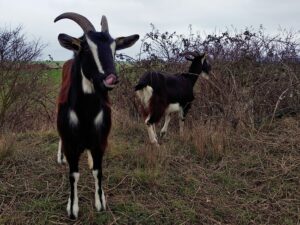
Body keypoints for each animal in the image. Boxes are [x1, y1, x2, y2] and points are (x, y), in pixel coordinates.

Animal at [54, 11, 139, 218]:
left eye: (114, 47)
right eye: (85, 46)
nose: (111, 78)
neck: (86, 113)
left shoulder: (101, 141)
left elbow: (97, 171)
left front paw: (100, 202)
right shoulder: (71, 142)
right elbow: (73, 174)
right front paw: (72, 208)